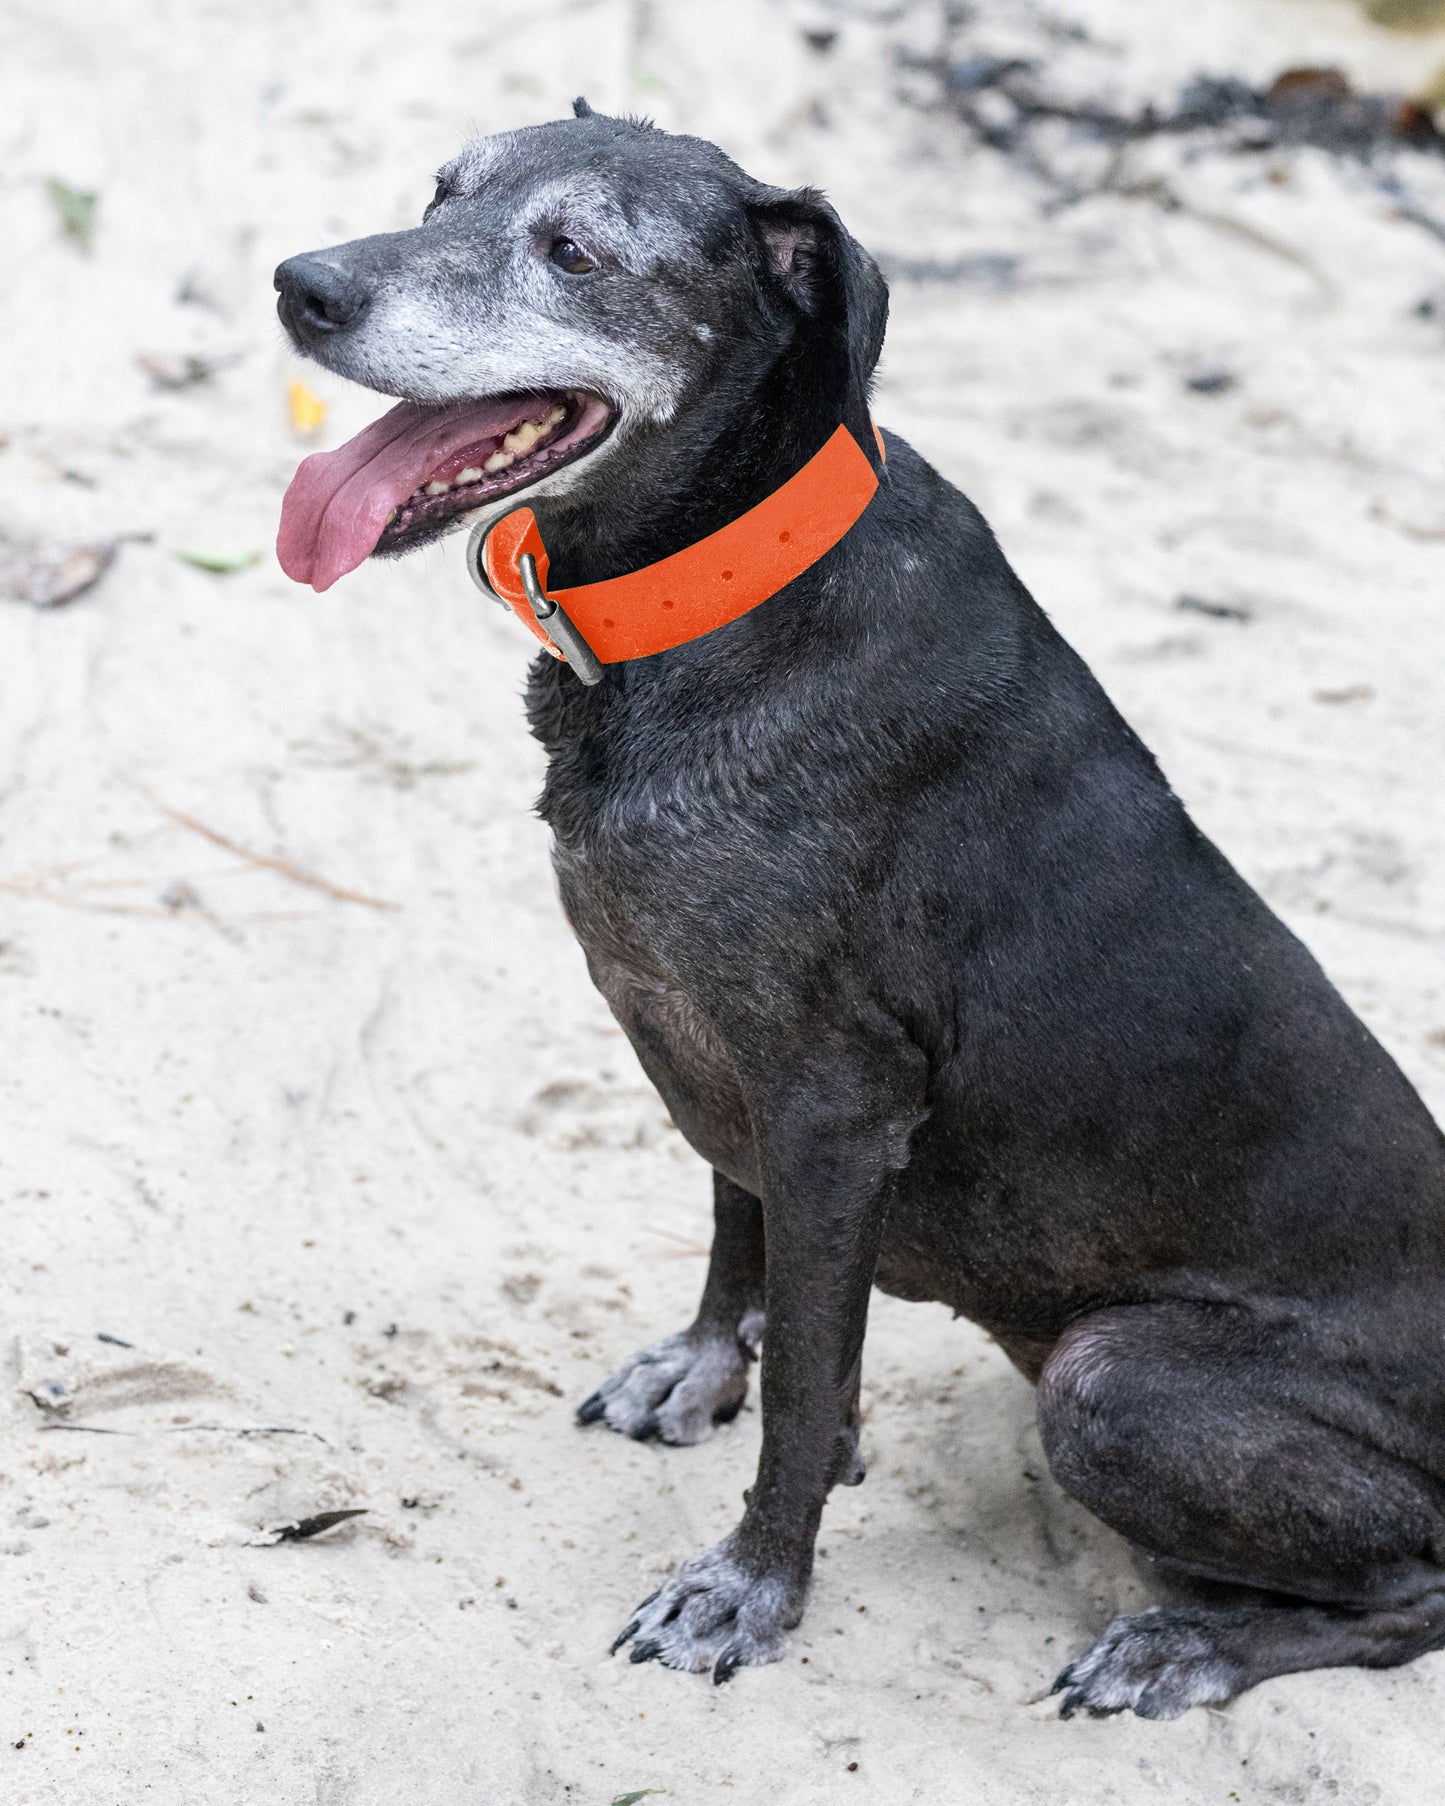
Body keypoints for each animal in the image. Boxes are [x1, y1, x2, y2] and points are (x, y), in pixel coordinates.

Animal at [276, 105, 1445, 1712]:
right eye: (440, 189)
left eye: (572, 252)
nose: (300, 287)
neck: (716, 593)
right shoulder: (718, 1057)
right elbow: (736, 1233)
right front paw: (702, 1365)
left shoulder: (832, 1109)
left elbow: (807, 1381)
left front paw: (749, 1586)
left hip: (1110, 1379)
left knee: (1413, 1587)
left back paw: (1193, 1641)